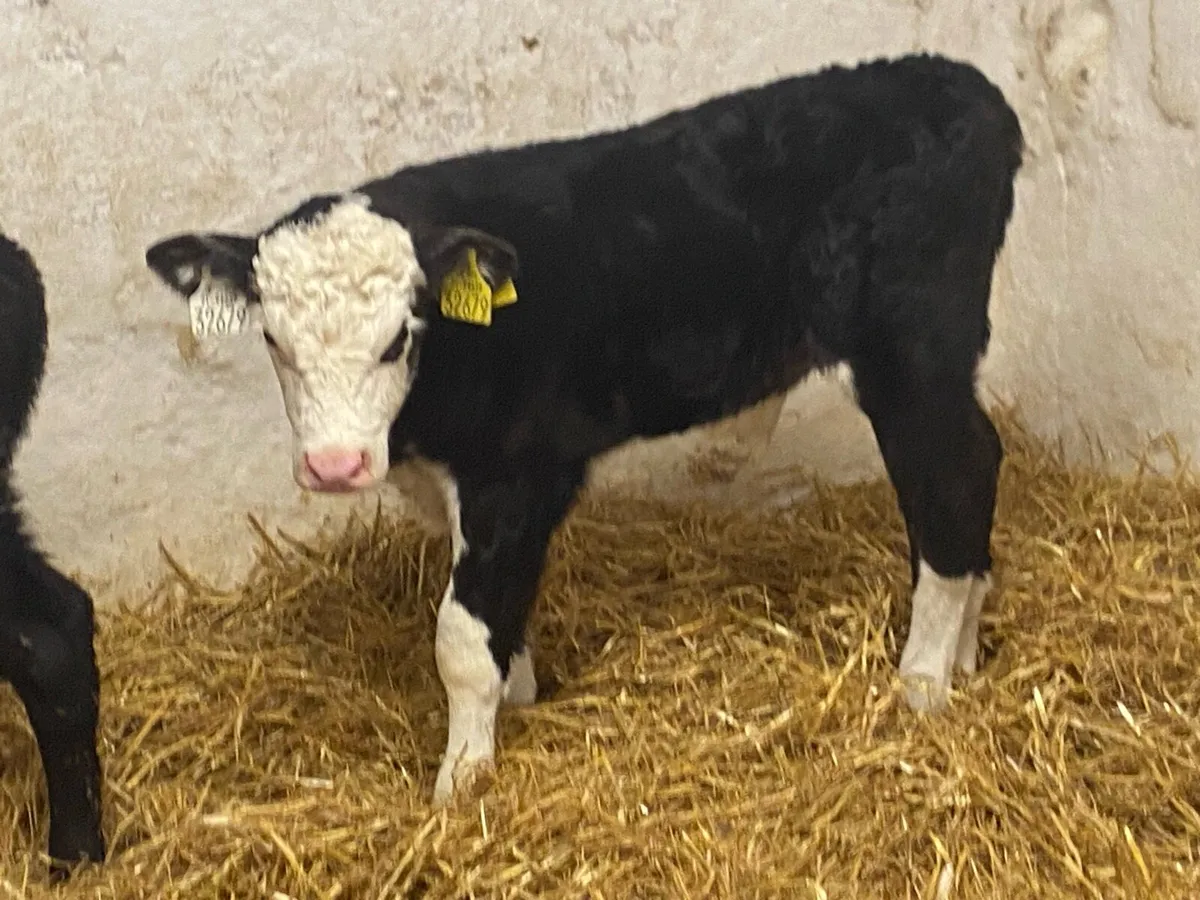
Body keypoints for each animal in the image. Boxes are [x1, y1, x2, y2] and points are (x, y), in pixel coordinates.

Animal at [145, 52, 1023, 806]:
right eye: (272, 340)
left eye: (398, 337)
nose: (334, 466)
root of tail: (961, 86)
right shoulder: (452, 487)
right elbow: (502, 618)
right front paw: (520, 702)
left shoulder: (517, 474)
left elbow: (462, 638)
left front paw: (461, 781)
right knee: (982, 459)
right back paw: (966, 652)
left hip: (908, 351)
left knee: (951, 480)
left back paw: (922, 682)